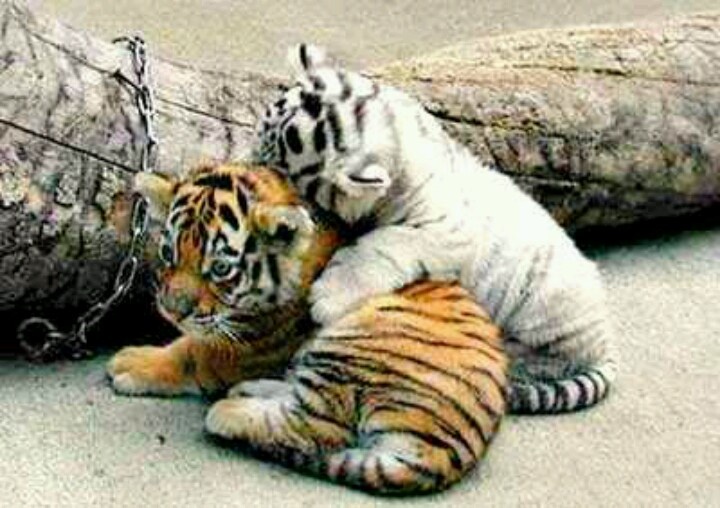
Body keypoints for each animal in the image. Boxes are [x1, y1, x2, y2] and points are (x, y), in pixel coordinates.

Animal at [107, 162, 508, 494]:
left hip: (356, 340)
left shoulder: (252, 345)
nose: (172, 313)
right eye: (168, 254)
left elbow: (191, 352)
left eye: (220, 269)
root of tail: (446, 454)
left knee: (316, 427)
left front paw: (132, 362)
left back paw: (228, 412)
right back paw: (252, 390)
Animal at [251, 44, 618, 414]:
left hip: (546, 313)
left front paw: (328, 297)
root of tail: (604, 341)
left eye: (285, 173)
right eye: (260, 136)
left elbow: (385, 242)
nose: (253, 173)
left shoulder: (445, 230)